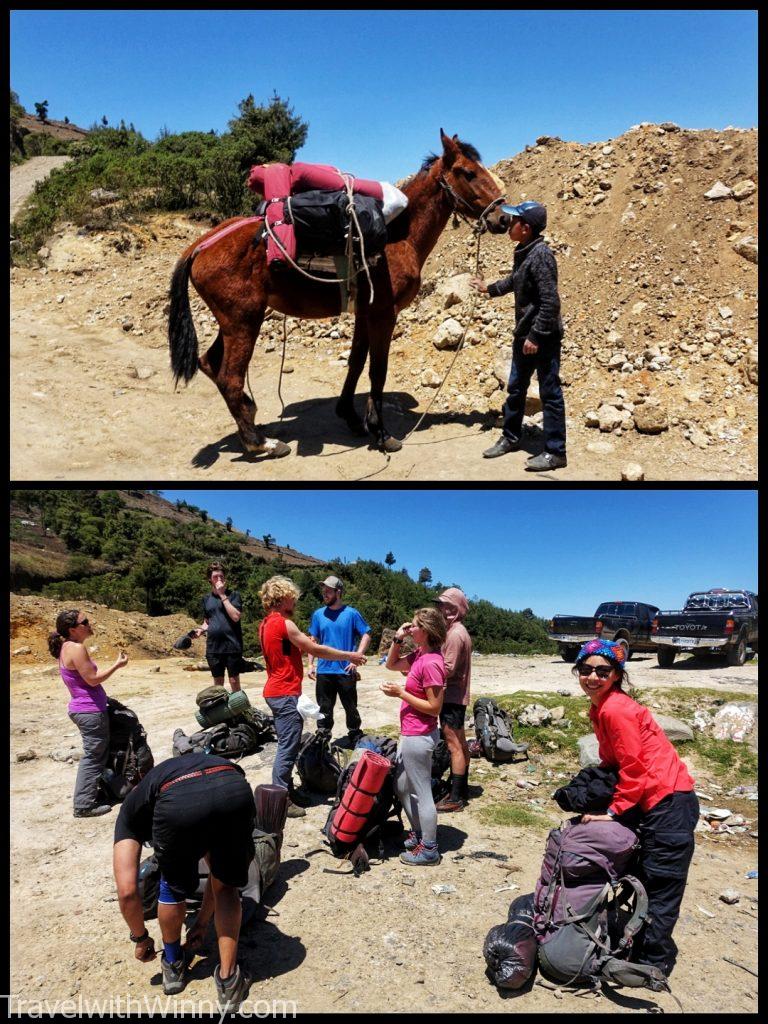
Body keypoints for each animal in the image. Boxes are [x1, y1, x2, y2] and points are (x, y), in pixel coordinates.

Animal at [166, 129, 512, 456]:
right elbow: (378, 370)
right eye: (468, 172)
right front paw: (381, 433)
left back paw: (250, 417)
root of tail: (201, 245)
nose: (504, 217)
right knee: (230, 377)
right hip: (243, 321)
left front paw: (352, 417)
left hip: (235, 321)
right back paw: (260, 443)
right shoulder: (384, 313)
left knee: (209, 363)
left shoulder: (364, 312)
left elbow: (357, 362)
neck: (398, 236)